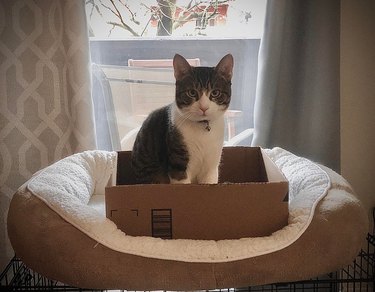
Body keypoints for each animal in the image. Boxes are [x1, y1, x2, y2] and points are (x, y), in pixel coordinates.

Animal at [131, 53, 234, 184]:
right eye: (192, 92)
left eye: (215, 93)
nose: (204, 107)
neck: (202, 126)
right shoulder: (178, 164)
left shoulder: (211, 167)